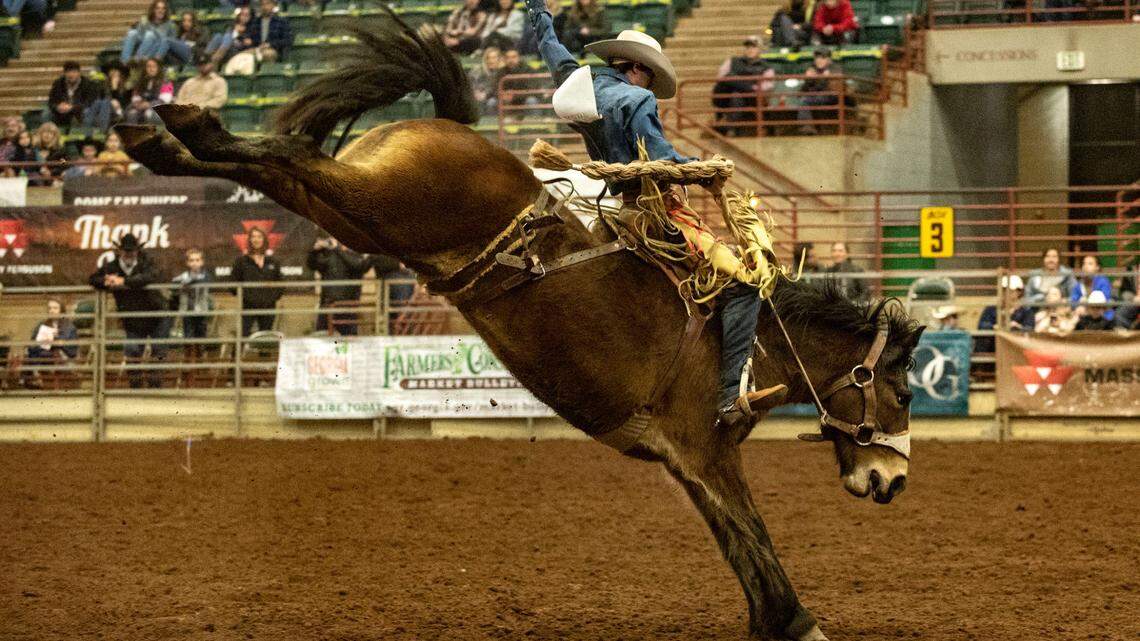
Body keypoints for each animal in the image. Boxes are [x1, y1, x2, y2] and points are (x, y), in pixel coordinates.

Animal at [114, 17, 923, 641]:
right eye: (904, 392)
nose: (892, 482)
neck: (753, 340)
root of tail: (446, 125)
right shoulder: (707, 445)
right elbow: (754, 534)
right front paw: (799, 621)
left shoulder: (683, 460)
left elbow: (736, 545)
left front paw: (773, 621)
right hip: (379, 202)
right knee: (293, 155)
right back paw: (183, 126)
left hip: (362, 218)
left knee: (284, 173)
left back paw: (159, 142)